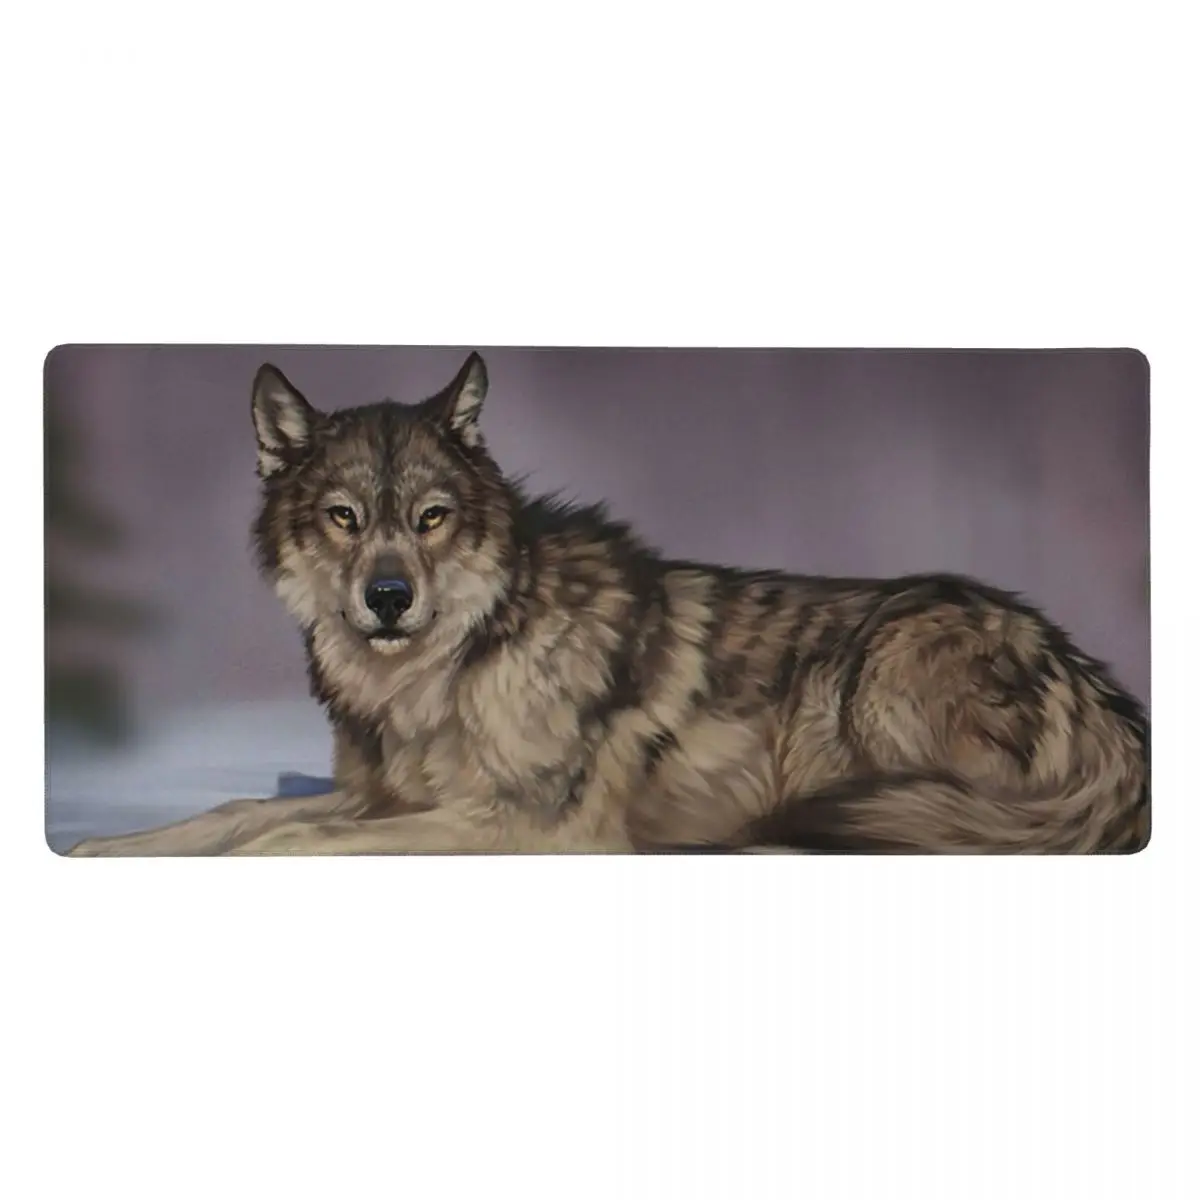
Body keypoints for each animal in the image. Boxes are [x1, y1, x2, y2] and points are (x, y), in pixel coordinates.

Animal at [66, 353, 1150, 856]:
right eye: (343, 516)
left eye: (430, 518)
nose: (388, 598)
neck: (445, 673)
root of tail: (1104, 691)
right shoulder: (386, 797)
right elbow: (233, 811)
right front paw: (105, 845)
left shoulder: (518, 828)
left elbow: (287, 836)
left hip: (875, 682)